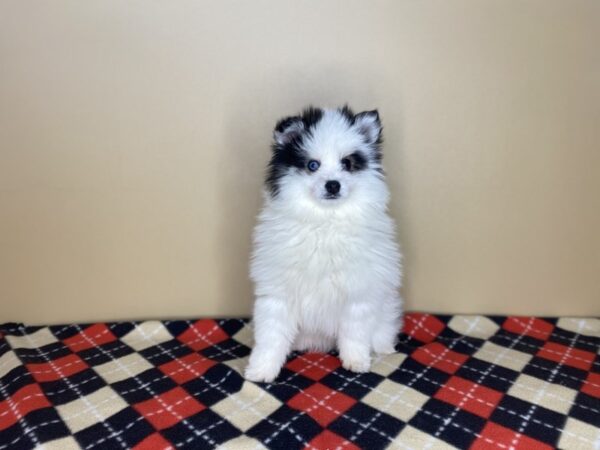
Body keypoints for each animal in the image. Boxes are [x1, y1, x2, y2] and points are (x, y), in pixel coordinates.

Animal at [244, 106, 404, 384]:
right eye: (312, 165)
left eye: (347, 164)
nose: (333, 184)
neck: (325, 220)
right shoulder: (279, 293)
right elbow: (271, 337)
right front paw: (261, 370)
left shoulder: (357, 293)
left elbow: (354, 333)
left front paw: (356, 362)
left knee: (379, 333)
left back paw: (384, 348)